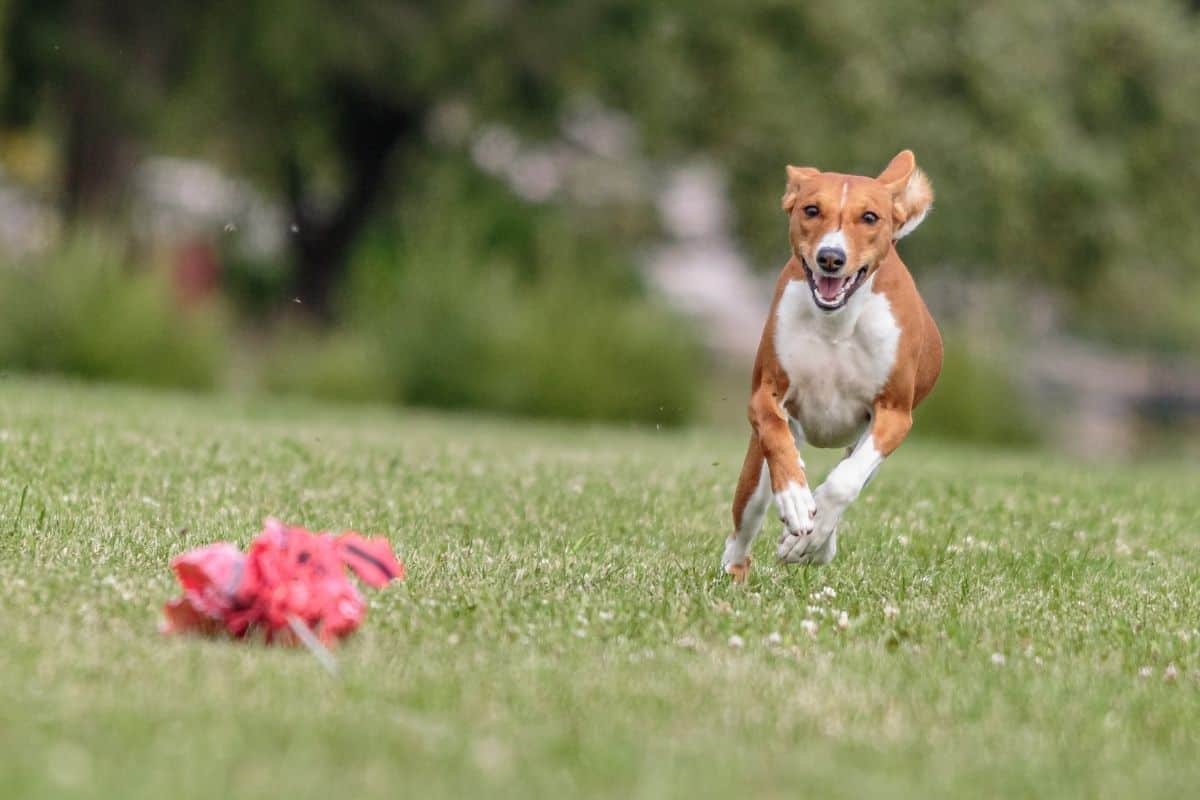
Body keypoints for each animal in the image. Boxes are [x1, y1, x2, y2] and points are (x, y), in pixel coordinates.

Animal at [715, 148, 940, 582]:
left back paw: (815, 543)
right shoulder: (765, 393)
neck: (836, 322)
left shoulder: (894, 414)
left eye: (869, 216)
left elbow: (844, 483)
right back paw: (737, 567)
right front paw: (796, 500)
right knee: (743, 526)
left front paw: (812, 533)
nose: (831, 257)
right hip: (756, 475)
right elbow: (775, 433)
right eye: (811, 209)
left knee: (850, 472)